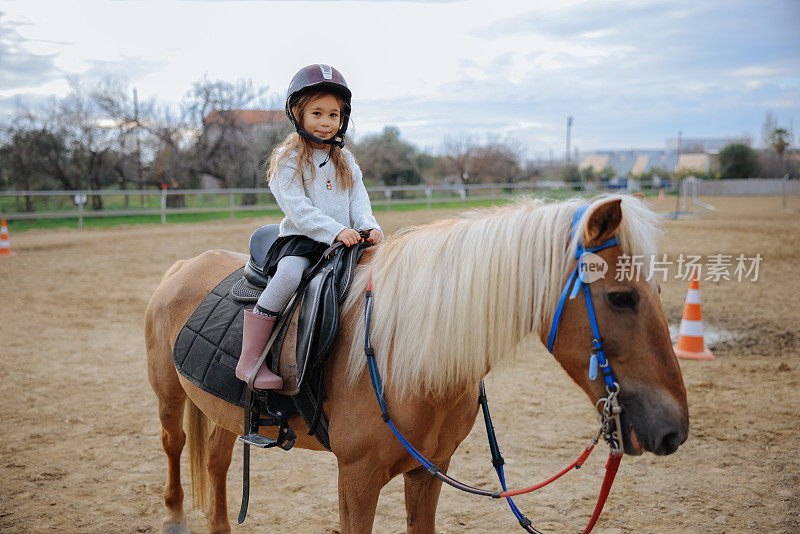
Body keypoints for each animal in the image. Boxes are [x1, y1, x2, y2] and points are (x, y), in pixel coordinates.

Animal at [144, 195, 688, 532]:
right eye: (620, 298)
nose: (673, 430)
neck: (402, 358)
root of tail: (183, 266)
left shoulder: (430, 471)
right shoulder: (356, 479)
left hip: (224, 411)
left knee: (216, 462)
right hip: (169, 395)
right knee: (175, 444)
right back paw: (173, 518)